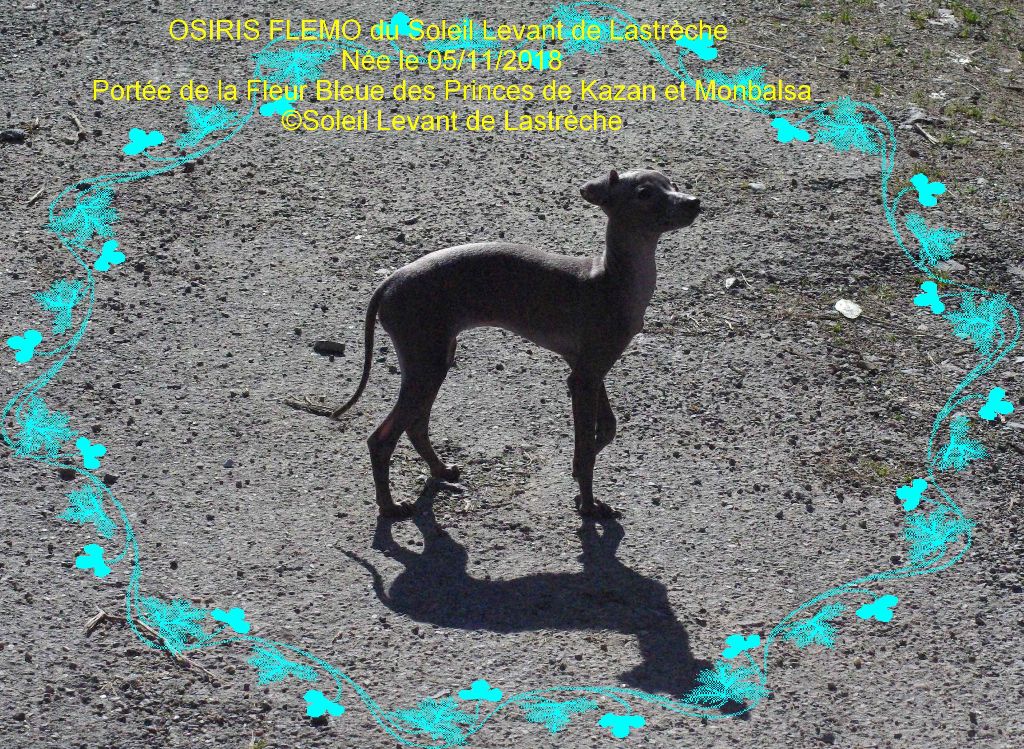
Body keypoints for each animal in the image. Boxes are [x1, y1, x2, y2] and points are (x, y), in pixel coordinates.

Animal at [288, 169, 700, 518]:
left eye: (671, 182)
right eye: (645, 194)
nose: (694, 202)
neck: (612, 280)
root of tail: (389, 281)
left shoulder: (587, 370)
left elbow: (607, 429)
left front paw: (581, 470)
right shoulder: (583, 378)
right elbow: (586, 451)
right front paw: (588, 505)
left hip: (435, 359)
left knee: (416, 425)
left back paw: (442, 471)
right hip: (427, 362)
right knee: (382, 438)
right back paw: (390, 509)